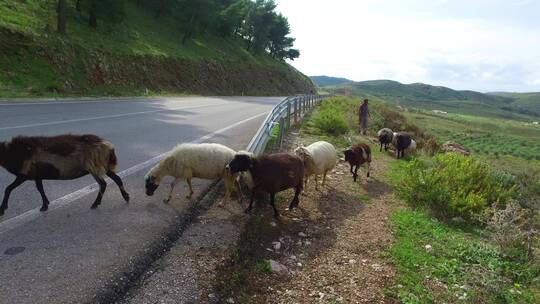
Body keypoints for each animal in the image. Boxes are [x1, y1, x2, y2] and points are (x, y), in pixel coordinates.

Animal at [0, 134, 130, 215]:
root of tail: (109, 146)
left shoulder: (24, 175)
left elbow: (8, 188)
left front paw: (2, 209)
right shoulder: (37, 175)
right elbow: (40, 189)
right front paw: (45, 205)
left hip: (94, 166)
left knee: (103, 184)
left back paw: (95, 204)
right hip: (103, 165)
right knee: (117, 179)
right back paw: (126, 197)